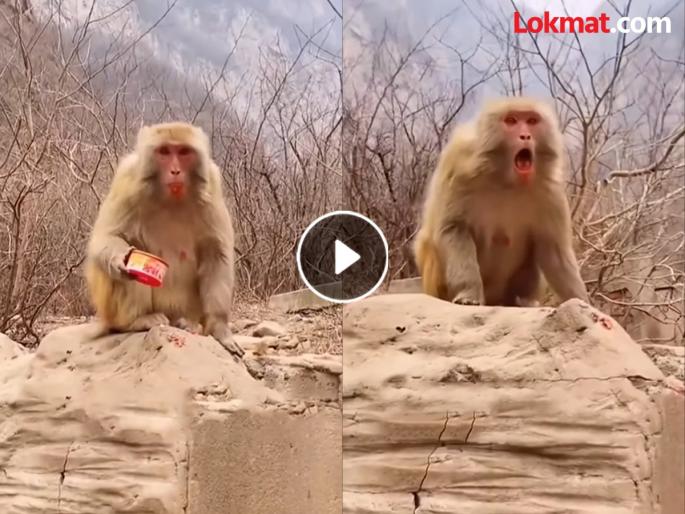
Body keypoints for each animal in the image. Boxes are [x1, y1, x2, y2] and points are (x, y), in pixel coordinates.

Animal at [85, 122, 244, 357]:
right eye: (165, 152)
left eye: (184, 152)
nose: (175, 171)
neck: (171, 197)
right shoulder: (127, 176)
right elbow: (106, 237)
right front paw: (120, 259)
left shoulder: (213, 184)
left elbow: (216, 254)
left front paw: (220, 329)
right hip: (110, 310)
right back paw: (136, 321)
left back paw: (187, 323)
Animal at [413, 97, 589, 307]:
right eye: (511, 120)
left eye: (531, 121)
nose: (525, 136)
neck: (505, 180)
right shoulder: (457, 166)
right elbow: (453, 228)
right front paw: (468, 293)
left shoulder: (550, 191)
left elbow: (554, 251)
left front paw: (584, 303)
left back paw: (522, 301)